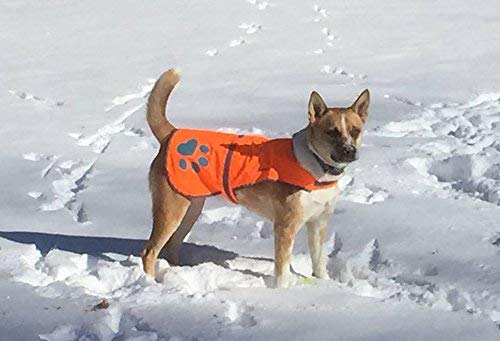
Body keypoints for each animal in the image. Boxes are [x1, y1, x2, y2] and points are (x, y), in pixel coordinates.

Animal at [139, 69, 370, 286]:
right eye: (332, 132)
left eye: (355, 130)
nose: (350, 151)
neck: (317, 167)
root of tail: (171, 133)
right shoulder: (285, 226)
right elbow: (282, 268)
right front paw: (282, 291)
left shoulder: (318, 223)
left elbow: (319, 261)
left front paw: (324, 284)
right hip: (171, 209)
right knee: (149, 252)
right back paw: (150, 281)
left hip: (191, 208)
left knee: (172, 245)